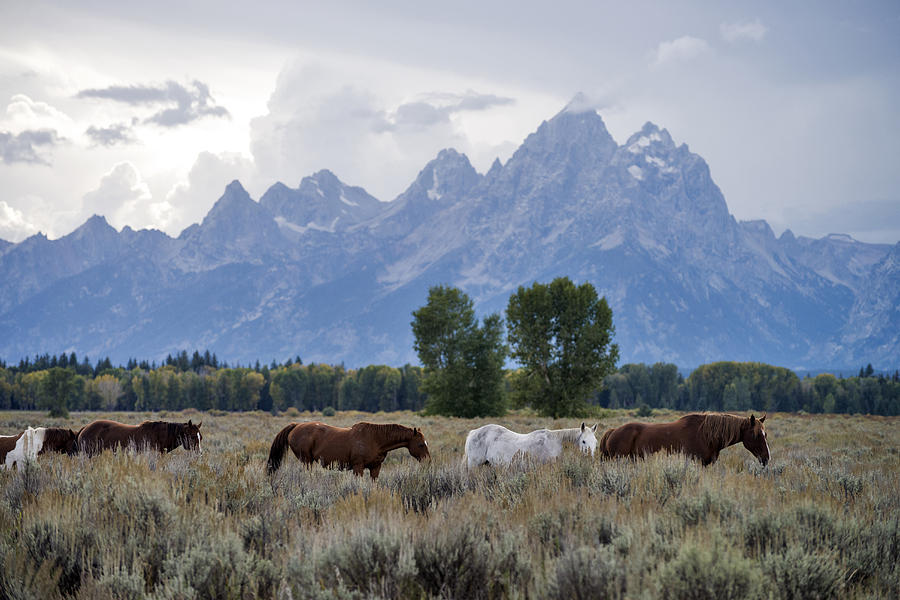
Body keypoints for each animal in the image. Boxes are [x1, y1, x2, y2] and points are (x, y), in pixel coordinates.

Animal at [266, 420, 430, 480]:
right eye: (421, 444)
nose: (428, 461)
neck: (375, 439)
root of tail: (296, 425)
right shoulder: (358, 467)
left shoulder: (375, 468)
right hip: (306, 461)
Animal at [464, 422, 596, 468]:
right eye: (584, 441)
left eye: (595, 442)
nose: (590, 458)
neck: (553, 443)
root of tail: (473, 432)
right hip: (474, 465)